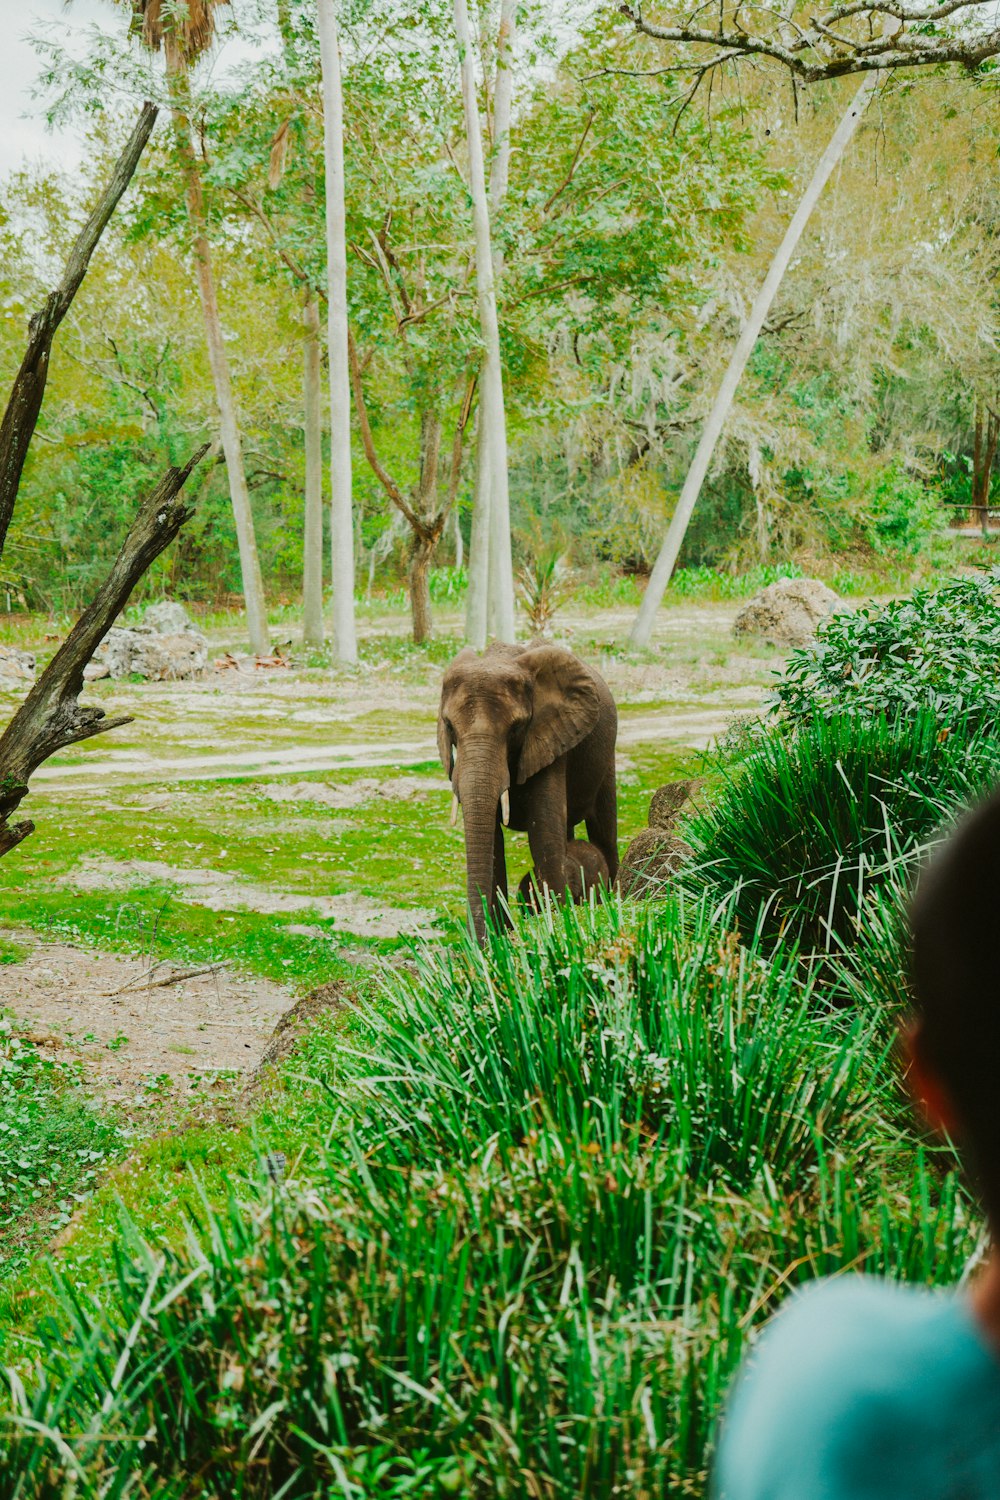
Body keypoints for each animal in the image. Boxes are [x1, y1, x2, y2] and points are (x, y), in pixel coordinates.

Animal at [440, 642, 617, 936]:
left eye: (516, 728)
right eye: (449, 726)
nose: (479, 941)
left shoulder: (552, 738)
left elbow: (543, 831)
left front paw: (558, 926)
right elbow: (493, 839)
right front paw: (500, 939)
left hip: (607, 755)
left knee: (603, 827)